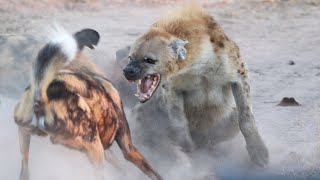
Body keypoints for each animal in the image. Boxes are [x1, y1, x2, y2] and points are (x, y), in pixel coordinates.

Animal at [13, 25, 162, 180]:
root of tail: (42, 97)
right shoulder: (128, 148)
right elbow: (154, 173)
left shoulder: (107, 151)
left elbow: (122, 168)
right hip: (95, 151)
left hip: (24, 133)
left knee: (24, 169)